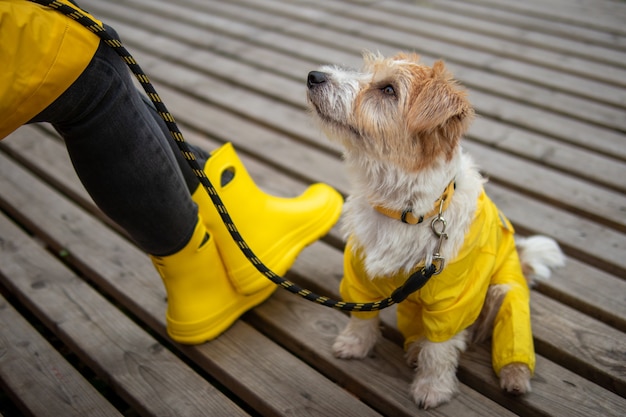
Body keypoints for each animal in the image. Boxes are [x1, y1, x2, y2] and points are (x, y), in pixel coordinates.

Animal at [304, 51, 564, 406]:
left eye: (388, 89)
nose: (314, 76)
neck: (403, 210)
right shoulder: (359, 276)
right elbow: (361, 317)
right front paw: (354, 345)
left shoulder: (453, 302)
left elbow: (440, 350)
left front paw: (433, 389)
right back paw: (414, 348)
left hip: (505, 291)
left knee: (511, 335)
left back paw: (514, 377)